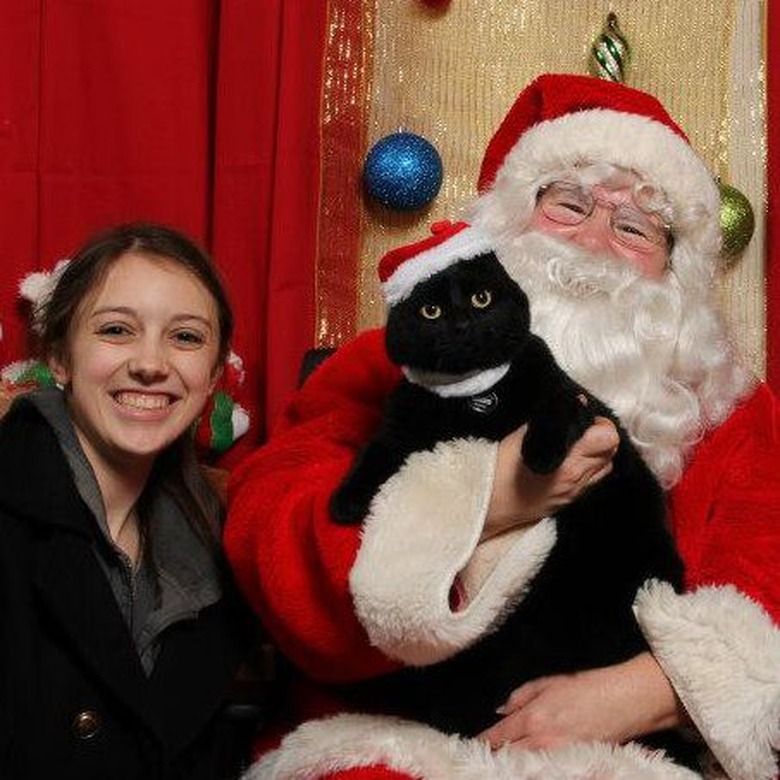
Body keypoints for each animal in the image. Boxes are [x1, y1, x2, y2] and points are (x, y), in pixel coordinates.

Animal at [330, 251, 684, 756]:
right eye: (430, 311)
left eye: (482, 298)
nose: (461, 323)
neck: (478, 400)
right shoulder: (402, 424)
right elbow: (374, 453)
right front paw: (346, 501)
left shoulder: (575, 401)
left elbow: (555, 410)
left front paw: (539, 457)